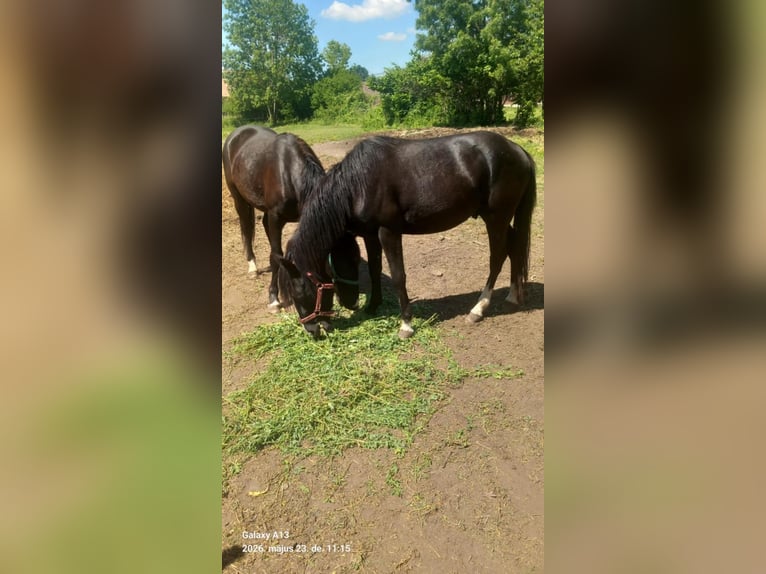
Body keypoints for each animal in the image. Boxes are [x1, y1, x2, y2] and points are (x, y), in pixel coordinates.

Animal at [222, 125, 360, 312]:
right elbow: (275, 255)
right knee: (246, 228)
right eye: (341, 262)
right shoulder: (275, 217)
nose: (353, 302)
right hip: (239, 199)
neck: (290, 173)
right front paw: (274, 298)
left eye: (357, 259)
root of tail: (235, 134)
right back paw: (252, 268)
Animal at [278, 131, 537, 339]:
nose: (312, 330)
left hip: (496, 218)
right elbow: (374, 269)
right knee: (515, 246)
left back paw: (478, 309)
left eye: (299, 293)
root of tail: (518, 150)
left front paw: (406, 325)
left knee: (498, 256)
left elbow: (398, 276)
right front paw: (372, 307)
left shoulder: (389, 232)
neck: (358, 183)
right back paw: (513, 295)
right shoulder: (370, 234)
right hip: (499, 218)